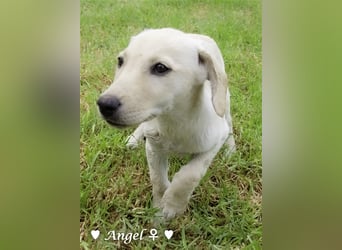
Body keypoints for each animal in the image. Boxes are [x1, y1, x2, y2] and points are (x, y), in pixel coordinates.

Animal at [97, 26, 235, 219]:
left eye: (160, 68)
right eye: (120, 61)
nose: (104, 104)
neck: (174, 120)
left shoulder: (214, 141)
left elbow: (189, 175)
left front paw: (172, 206)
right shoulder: (154, 148)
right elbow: (158, 180)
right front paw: (158, 210)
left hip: (224, 103)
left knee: (230, 126)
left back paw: (231, 150)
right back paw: (133, 138)